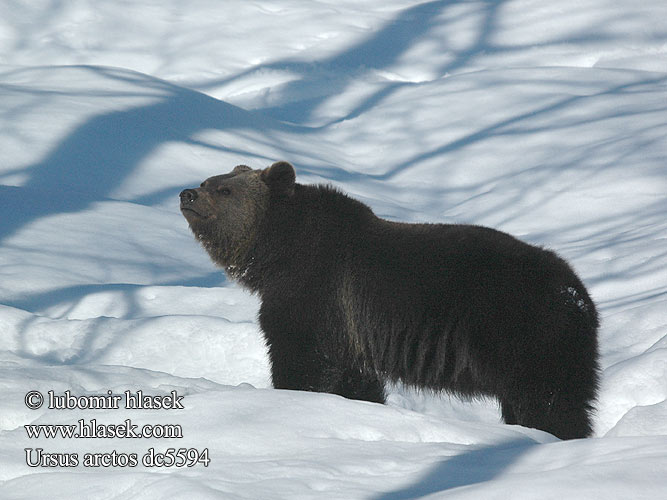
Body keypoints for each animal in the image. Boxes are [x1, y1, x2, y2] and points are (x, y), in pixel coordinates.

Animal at [180, 162, 604, 440]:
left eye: (224, 189)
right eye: (208, 180)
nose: (187, 193)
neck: (277, 251)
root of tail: (579, 295)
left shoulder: (313, 291)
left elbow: (301, 358)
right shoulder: (349, 329)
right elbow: (354, 378)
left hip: (524, 334)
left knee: (549, 402)